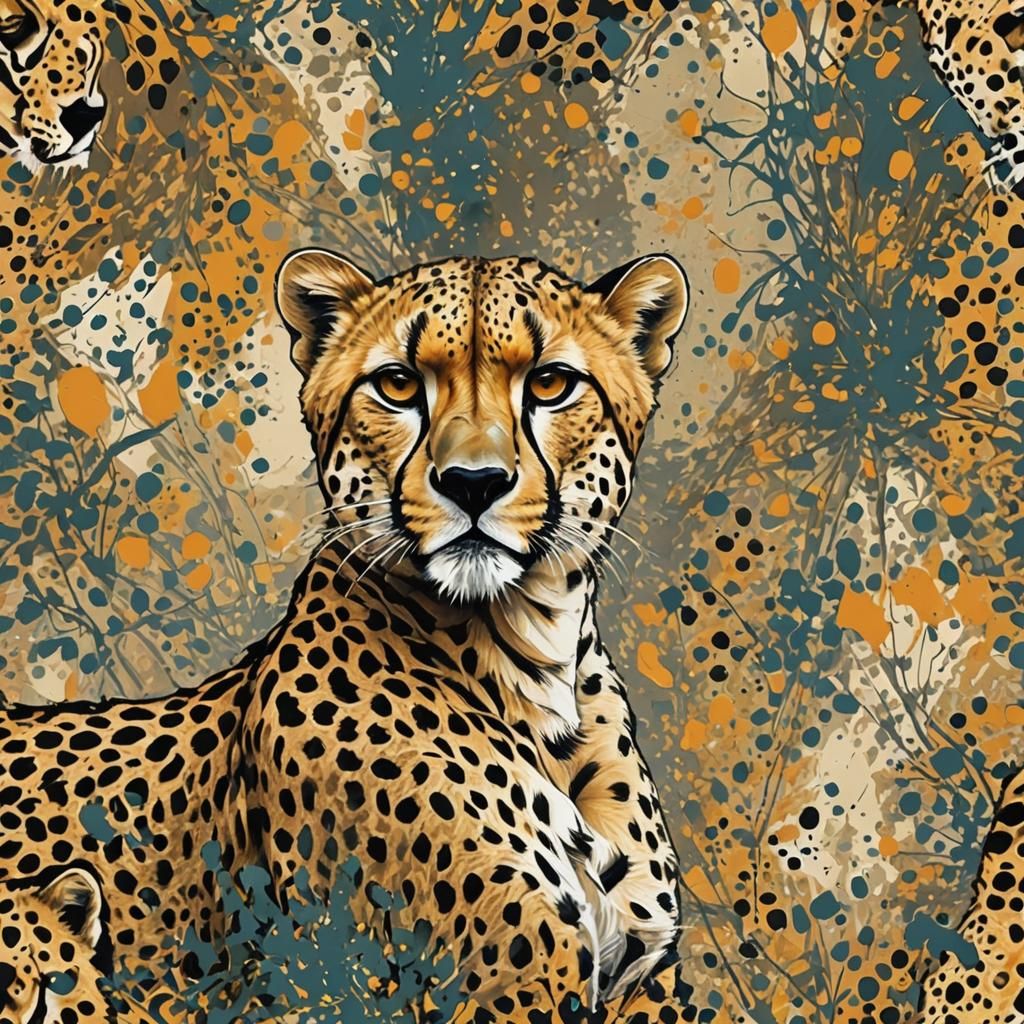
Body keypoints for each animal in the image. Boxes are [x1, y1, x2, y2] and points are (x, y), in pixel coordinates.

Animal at [0, 251, 692, 1022]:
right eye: (397, 385)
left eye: (549, 383)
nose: (473, 482)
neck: (533, 662)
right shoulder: (495, 979)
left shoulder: (638, 979)